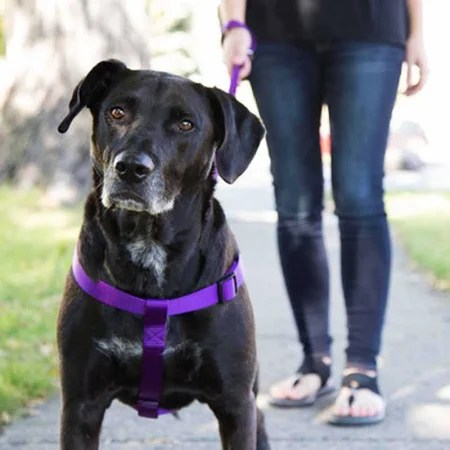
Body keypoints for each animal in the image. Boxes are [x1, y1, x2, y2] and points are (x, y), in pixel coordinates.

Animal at [56, 59, 270, 450]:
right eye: (117, 112)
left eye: (185, 124)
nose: (130, 168)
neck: (149, 244)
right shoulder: (80, 406)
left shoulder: (235, 405)